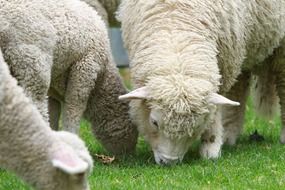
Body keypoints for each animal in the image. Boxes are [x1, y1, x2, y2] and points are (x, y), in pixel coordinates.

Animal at [0, 0, 138, 155]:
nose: (129, 154)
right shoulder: (85, 66)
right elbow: (74, 105)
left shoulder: (54, 84)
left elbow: (53, 111)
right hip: (31, 59)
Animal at [117, 0, 284, 164]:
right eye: (154, 122)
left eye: (196, 127)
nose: (169, 162)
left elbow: (214, 112)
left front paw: (211, 148)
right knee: (239, 88)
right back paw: (229, 135)